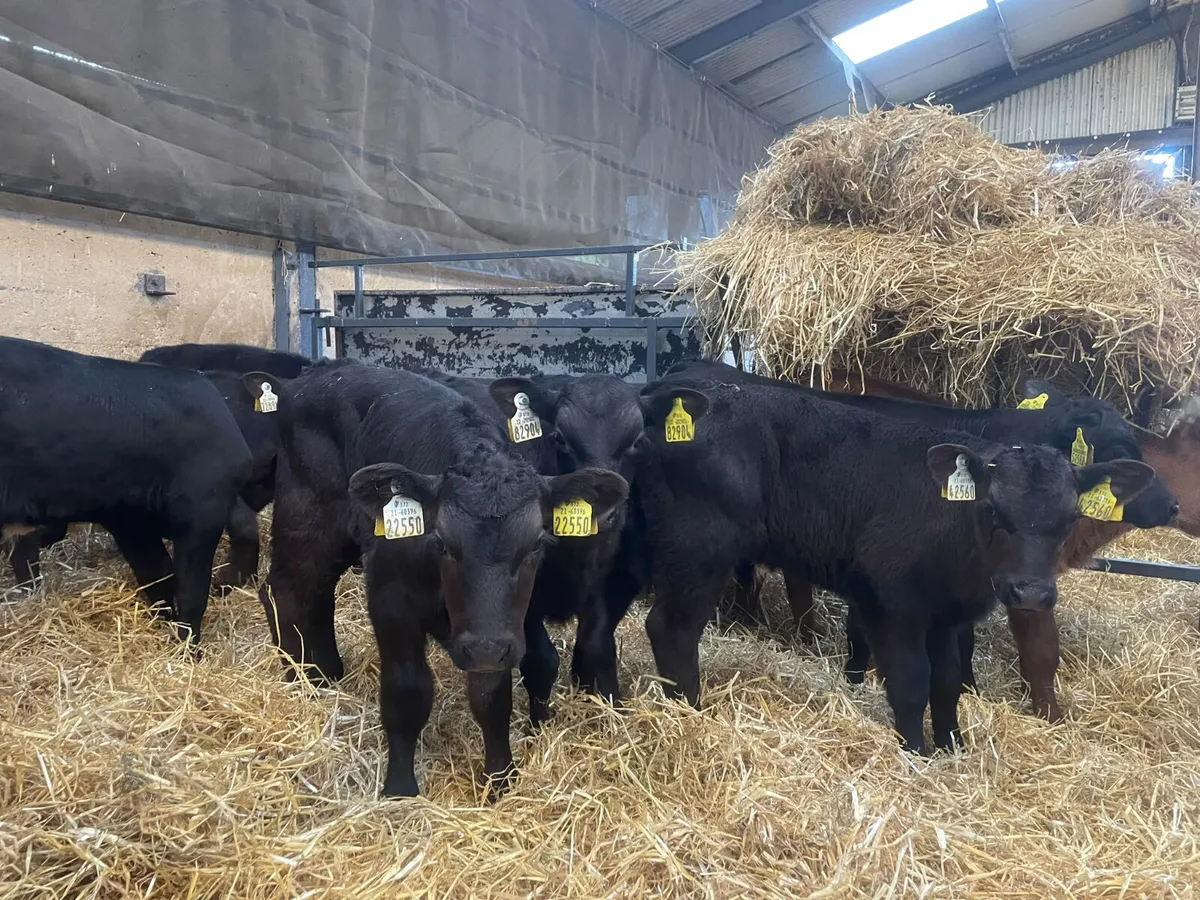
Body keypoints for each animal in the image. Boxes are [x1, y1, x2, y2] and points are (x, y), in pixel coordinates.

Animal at [247, 360, 627, 797]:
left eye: (536, 545)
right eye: (442, 542)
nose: (484, 649)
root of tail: (310, 376)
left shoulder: (497, 631)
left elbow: (491, 698)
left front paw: (500, 780)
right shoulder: (391, 600)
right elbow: (407, 692)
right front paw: (399, 787)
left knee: (317, 596)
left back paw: (327, 673)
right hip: (308, 519)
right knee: (286, 592)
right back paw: (302, 679)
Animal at [636, 372, 1155, 753]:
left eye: (1070, 517)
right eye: (991, 509)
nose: (1030, 592)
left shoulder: (945, 616)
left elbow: (947, 682)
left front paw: (952, 748)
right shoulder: (891, 605)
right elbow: (910, 680)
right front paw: (915, 752)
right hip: (699, 550)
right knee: (672, 627)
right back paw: (688, 710)